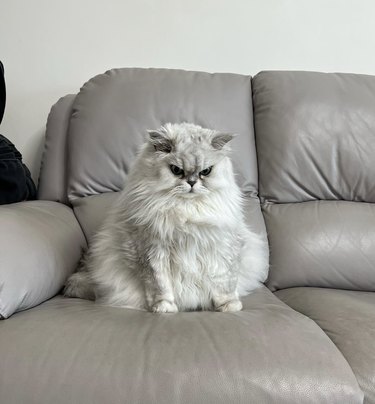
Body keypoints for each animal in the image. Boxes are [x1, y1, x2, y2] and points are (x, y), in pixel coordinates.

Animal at [65, 123, 270, 312]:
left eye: (205, 172)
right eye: (176, 170)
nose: (192, 183)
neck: (186, 212)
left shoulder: (223, 247)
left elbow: (225, 283)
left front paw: (229, 306)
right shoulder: (152, 252)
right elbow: (160, 286)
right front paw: (164, 308)